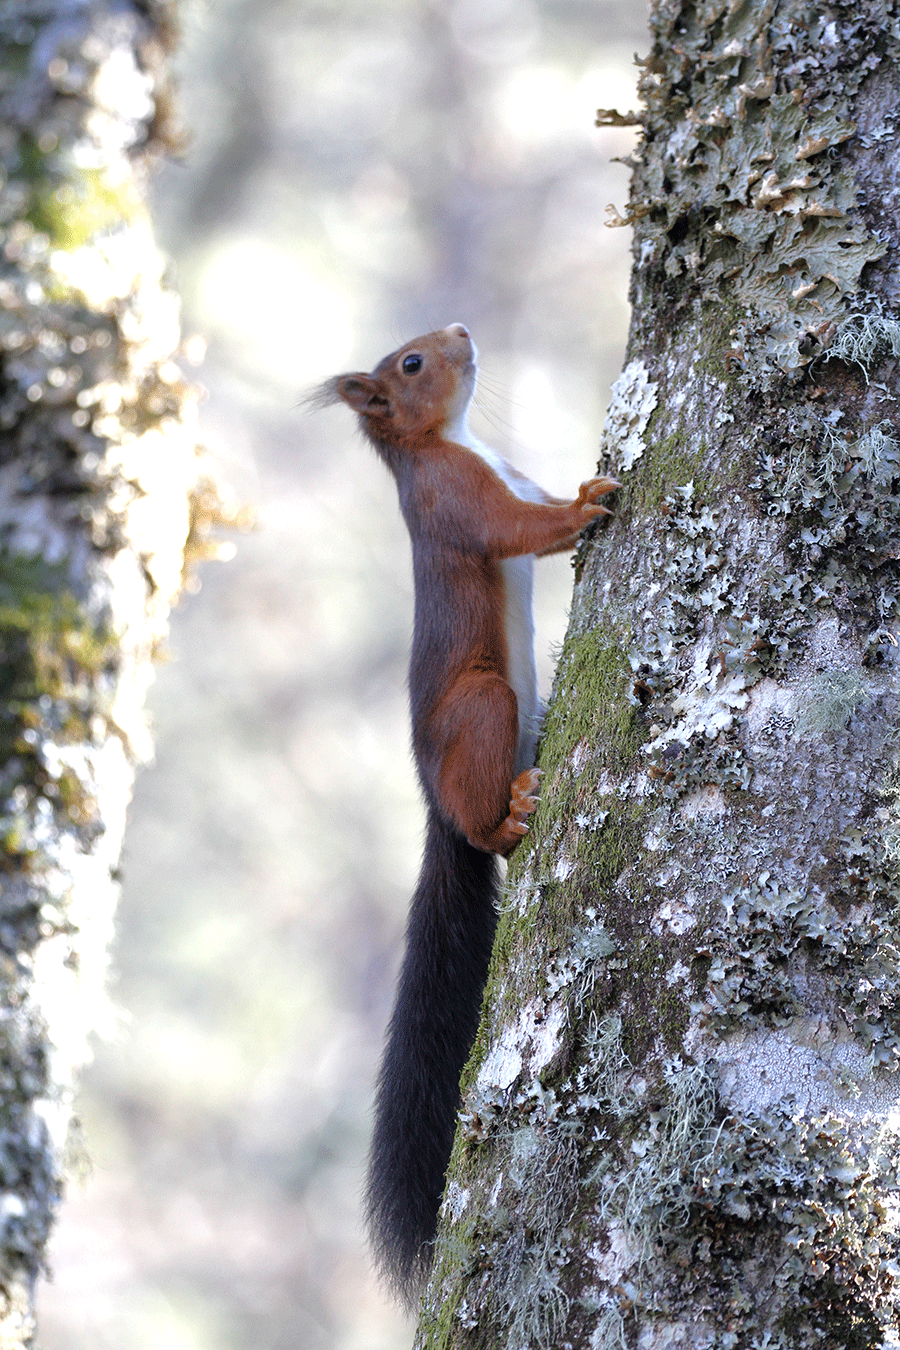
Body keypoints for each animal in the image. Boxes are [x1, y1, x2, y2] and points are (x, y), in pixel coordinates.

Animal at [313, 321, 615, 1301]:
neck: (458, 439)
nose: (460, 331)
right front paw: (588, 502)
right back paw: (509, 815)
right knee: (489, 822)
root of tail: (437, 811)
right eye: (410, 364)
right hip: (484, 706)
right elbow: (519, 527)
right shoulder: (458, 498)